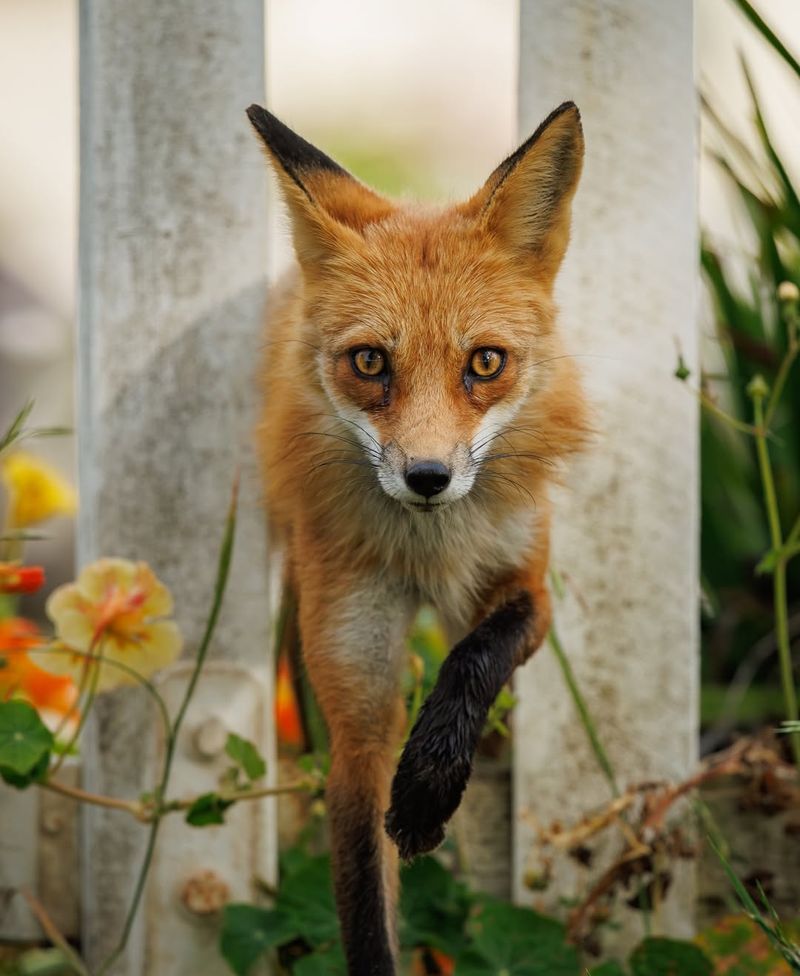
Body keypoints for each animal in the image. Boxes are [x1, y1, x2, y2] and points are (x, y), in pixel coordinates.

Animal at [246, 101, 590, 976]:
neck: (427, 553)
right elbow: (368, 912)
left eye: (486, 363)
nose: (428, 477)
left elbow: (475, 657)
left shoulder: (527, 589)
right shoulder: (359, 711)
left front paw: (431, 785)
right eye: (370, 362)